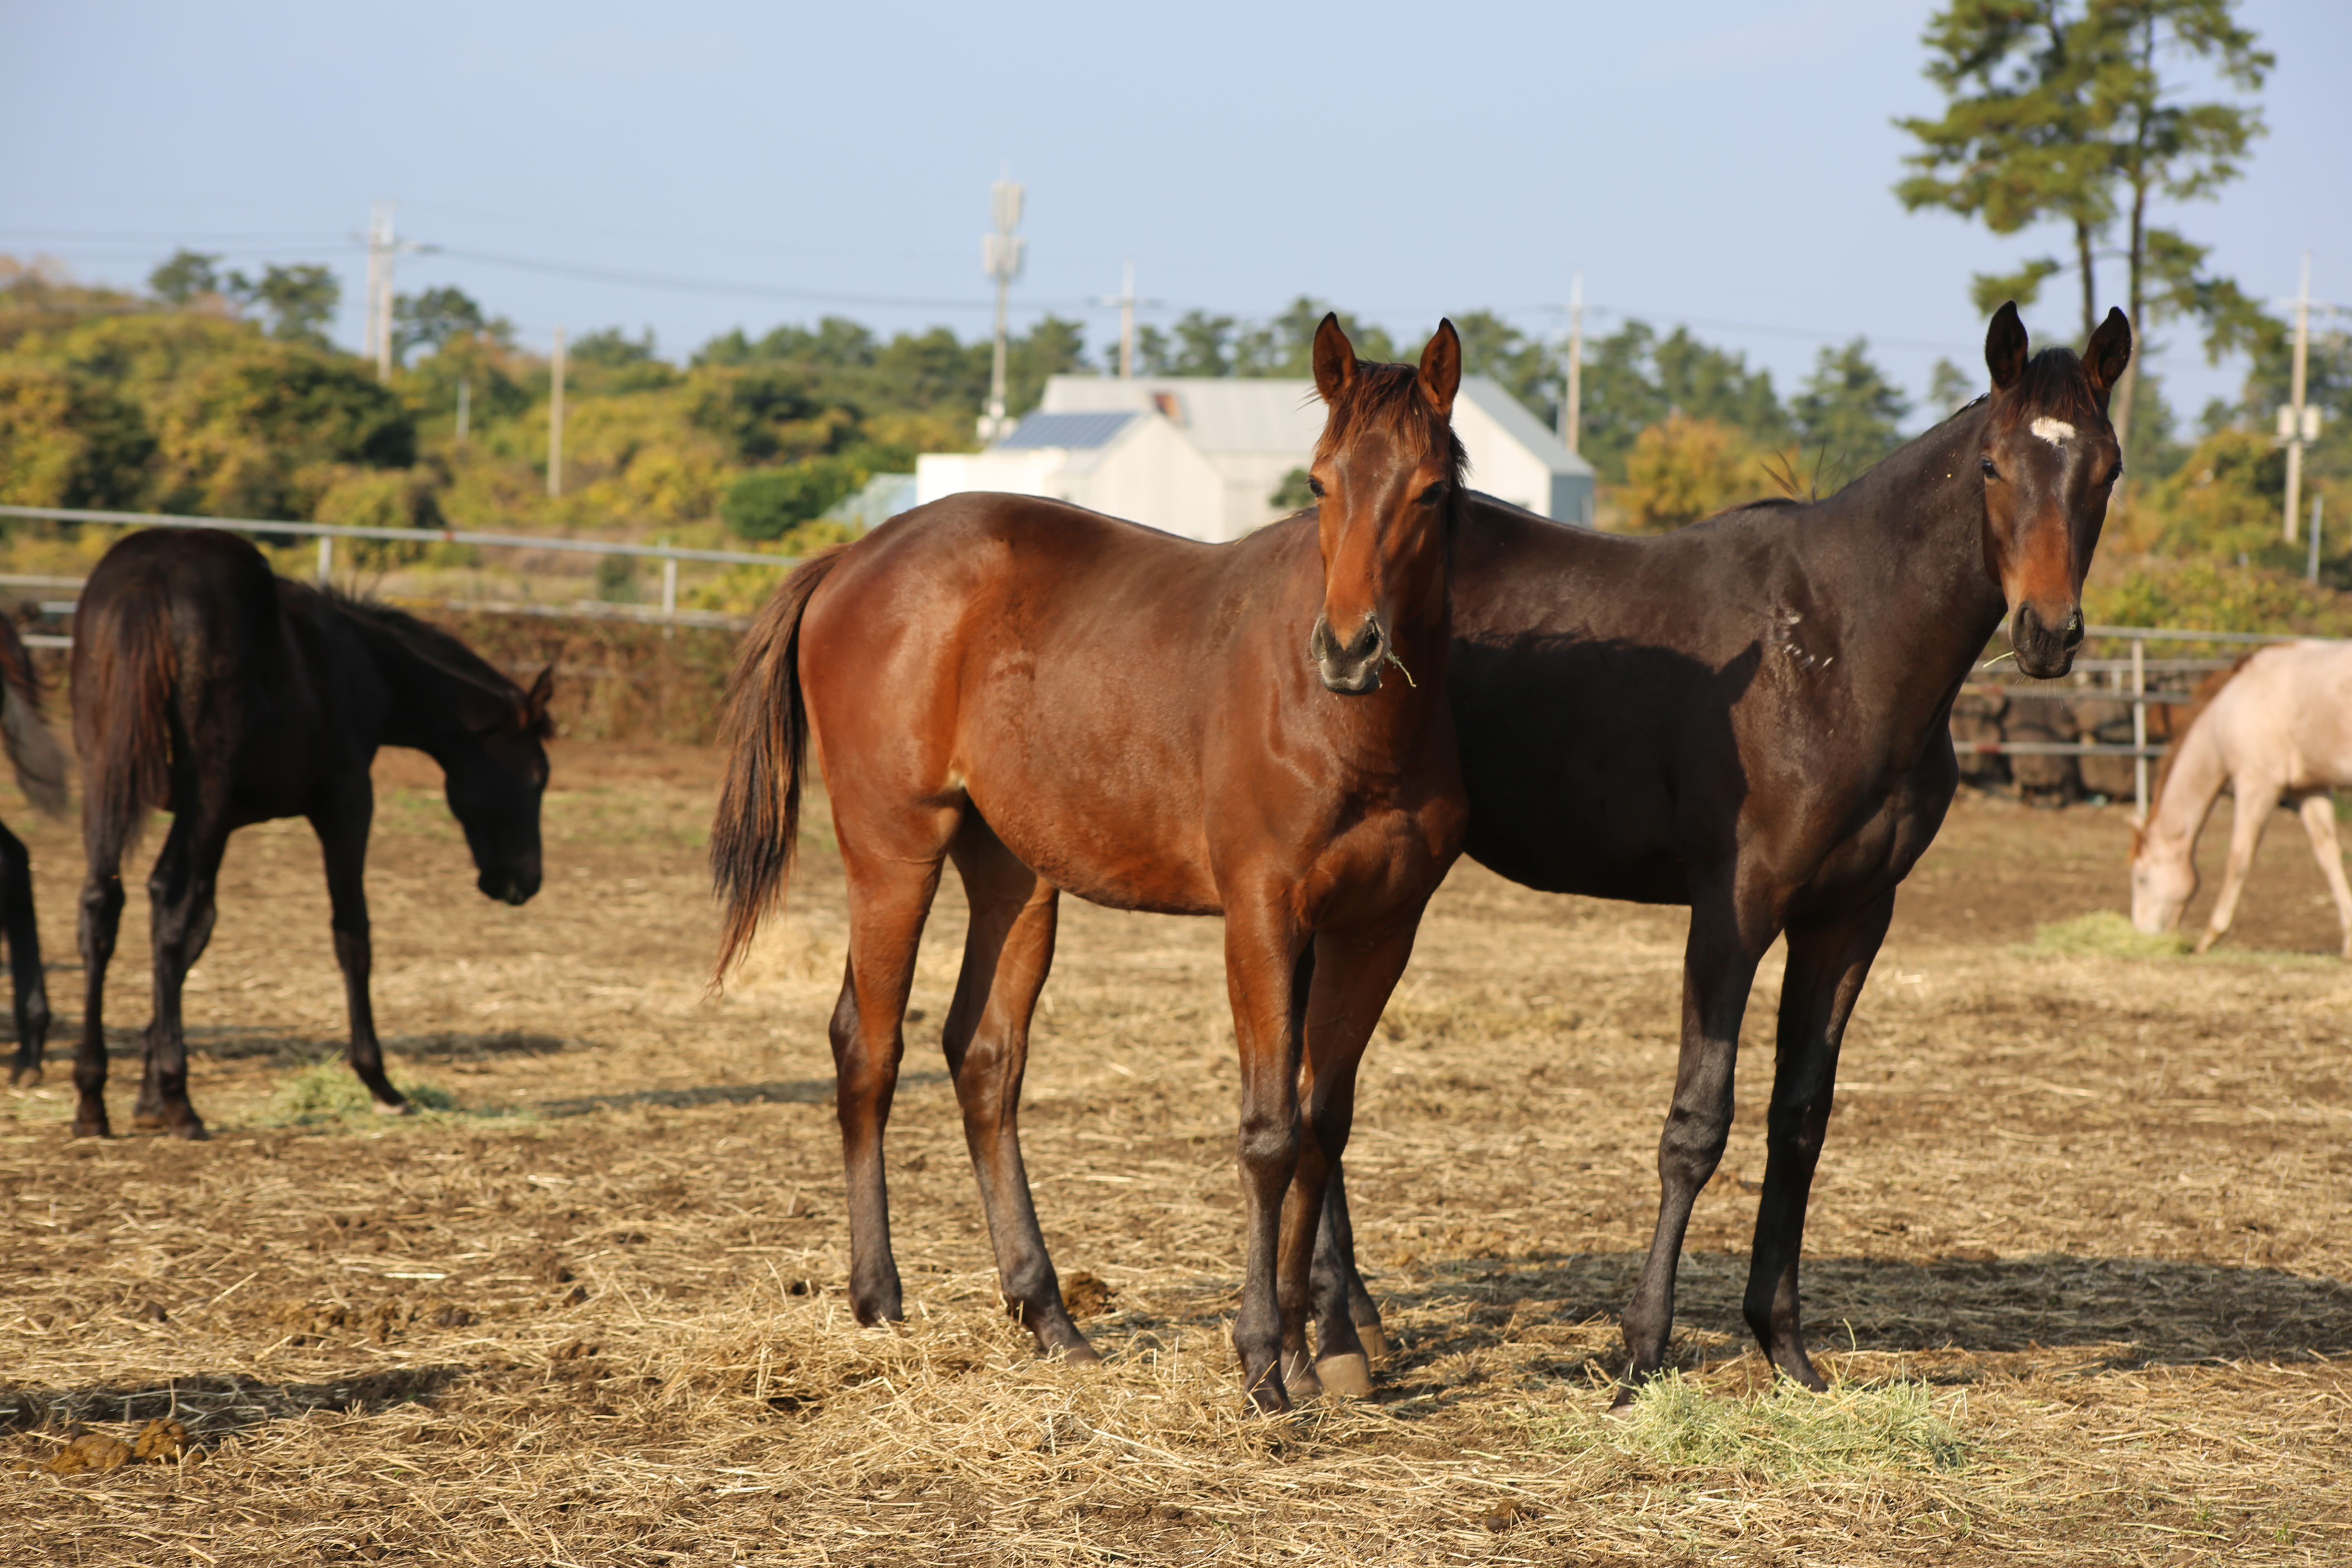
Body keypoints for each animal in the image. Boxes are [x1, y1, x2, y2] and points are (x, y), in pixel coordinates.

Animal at [53, 531, 557, 1142]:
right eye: (538, 775)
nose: (524, 881)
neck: (360, 661)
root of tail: (149, 575)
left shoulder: (223, 821)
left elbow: (199, 931)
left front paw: (146, 1097)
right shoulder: (346, 800)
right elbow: (352, 934)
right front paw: (381, 1084)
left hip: (108, 778)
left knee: (102, 907)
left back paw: (91, 1099)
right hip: (202, 789)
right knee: (164, 897)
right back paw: (182, 1104)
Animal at [706, 315, 1458, 1410]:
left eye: (1433, 490)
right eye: (1319, 482)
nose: (1351, 649)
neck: (1348, 729)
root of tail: (855, 555)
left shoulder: (1379, 925)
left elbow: (1324, 1123)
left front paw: (1317, 1346)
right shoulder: (1263, 914)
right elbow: (1270, 1131)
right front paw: (1262, 1358)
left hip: (1017, 876)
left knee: (984, 1058)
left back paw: (1047, 1313)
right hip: (894, 849)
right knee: (867, 1045)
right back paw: (879, 1297)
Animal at [1307, 301, 2136, 1401]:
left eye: (2107, 469)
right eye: (1994, 467)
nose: (2047, 633)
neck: (1836, 644)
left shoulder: (1848, 917)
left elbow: (1800, 1118)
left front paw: (1782, 1344)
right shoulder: (1733, 909)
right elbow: (1696, 1124)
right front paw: (1641, 1351)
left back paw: (1355, 1318)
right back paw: (1340, 1328)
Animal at [2126, 639, 2352, 959]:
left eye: (2142, 878)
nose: (2142, 934)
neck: (2230, 712)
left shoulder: (2257, 785)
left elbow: (2239, 857)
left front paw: (2210, 936)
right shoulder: (2312, 788)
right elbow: (2329, 855)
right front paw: (2349, 941)